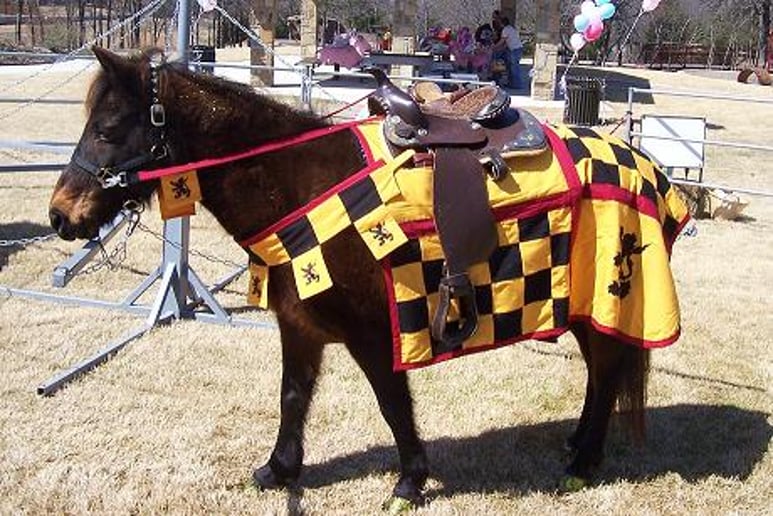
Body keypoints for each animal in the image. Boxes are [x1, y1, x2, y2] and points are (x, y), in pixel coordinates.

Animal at [48, 48, 688, 510]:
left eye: (107, 128)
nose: (60, 215)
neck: (301, 183)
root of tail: (648, 167)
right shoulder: (299, 327)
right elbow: (292, 397)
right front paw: (279, 469)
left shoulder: (374, 333)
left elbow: (391, 402)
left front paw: (410, 480)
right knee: (600, 374)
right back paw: (578, 446)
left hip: (606, 297)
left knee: (606, 370)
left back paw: (582, 464)